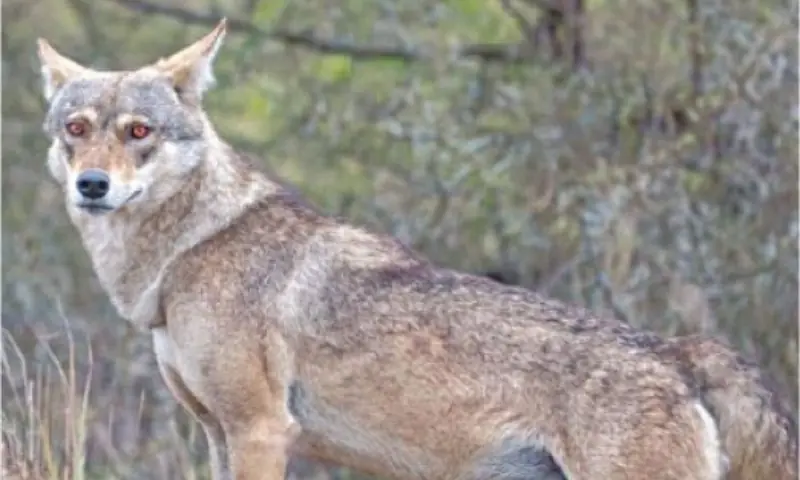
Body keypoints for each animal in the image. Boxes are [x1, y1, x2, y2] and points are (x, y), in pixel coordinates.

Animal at [35, 19, 795, 480]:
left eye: (138, 131)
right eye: (77, 128)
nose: (92, 185)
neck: (186, 254)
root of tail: (680, 351)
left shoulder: (260, 430)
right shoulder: (220, 435)